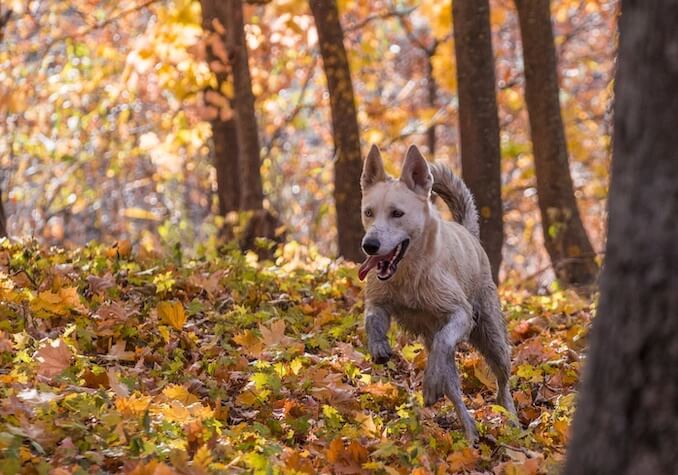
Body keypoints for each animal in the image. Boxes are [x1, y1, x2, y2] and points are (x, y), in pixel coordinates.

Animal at [362, 144, 516, 442]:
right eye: (369, 212)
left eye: (397, 213)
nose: (369, 245)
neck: (409, 275)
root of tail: (469, 233)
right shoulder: (379, 300)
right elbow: (371, 318)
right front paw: (379, 346)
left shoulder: (460, 314)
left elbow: (444, 341)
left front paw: (430, 382)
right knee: (454, 389)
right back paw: (470, 432)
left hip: (492, 337)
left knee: (502, 380)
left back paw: (512, 420)